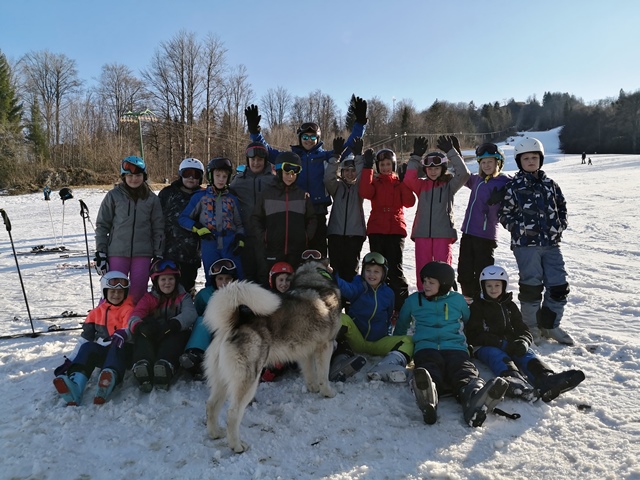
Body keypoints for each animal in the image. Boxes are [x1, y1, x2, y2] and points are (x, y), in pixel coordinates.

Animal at [202, 260, 342, 452]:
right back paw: (237, 445)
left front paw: (313, 388)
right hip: (248, 380)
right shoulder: (326, 346)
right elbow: (323, 375)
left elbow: (310, 373)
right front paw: (327, 392)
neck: (314, 281)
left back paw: (215, 433)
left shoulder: (305, 351)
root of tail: (235, 322)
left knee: (211, 405)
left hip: (222, 380)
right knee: (233, 413)